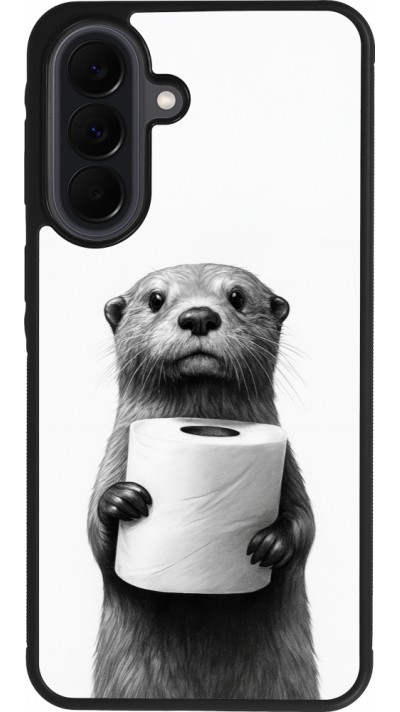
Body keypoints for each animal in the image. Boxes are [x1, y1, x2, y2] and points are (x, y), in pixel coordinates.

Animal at [88, 263, 318, 700]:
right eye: (156, 299)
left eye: (237, 297)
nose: (198, 316)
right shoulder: (114, 458)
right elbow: (95, 537)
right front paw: (121, 501)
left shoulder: (290, 468)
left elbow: (306, 524)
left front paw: (272, 542)